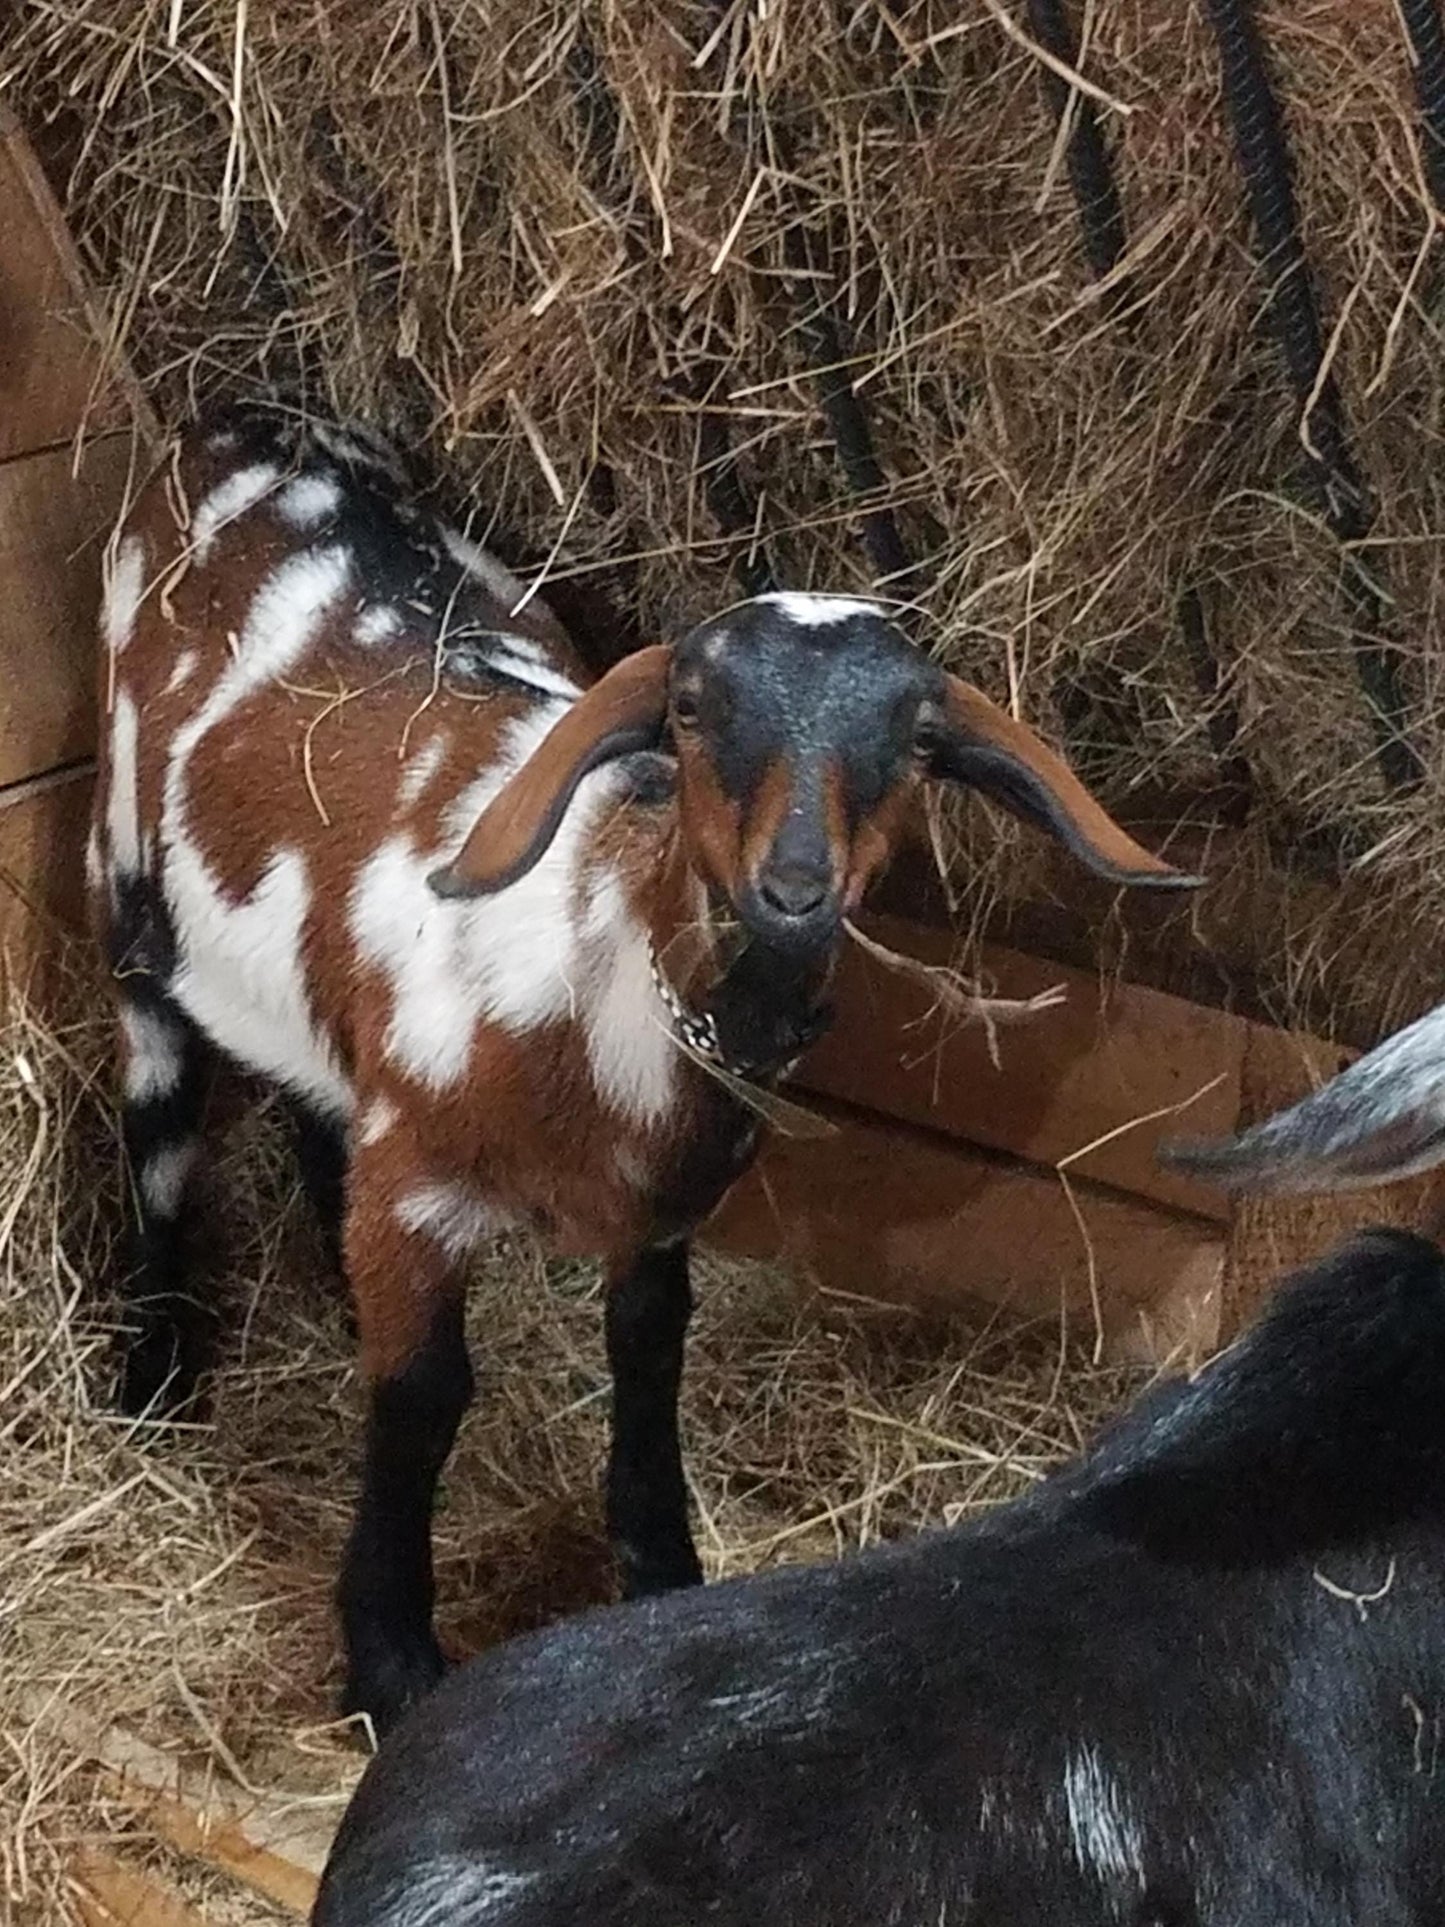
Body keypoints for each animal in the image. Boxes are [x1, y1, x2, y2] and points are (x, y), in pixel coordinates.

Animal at [92, 403, 1192, 1734]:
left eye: (918, 739)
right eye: (691, 707)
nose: (793, 886)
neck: (600, 968)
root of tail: (244, 415)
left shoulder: (659, 1212)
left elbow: (649, 1354)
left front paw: (660, 1572)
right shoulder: (417, 1183)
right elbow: (421, 1396)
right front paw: (390, 1661)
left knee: (310, 1098)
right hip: (127, 878)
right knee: (159, 1124)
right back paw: (153, 1376)